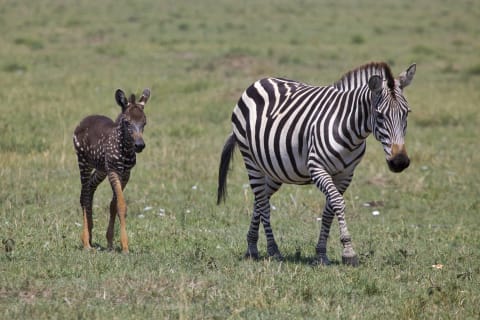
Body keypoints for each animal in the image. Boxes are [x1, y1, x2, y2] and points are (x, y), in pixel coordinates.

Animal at [73, 88, 150, 252]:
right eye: (127, 122)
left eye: (144, 122)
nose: (139, 145)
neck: (125, 150)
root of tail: (83, 121)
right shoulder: (114, 170)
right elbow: (121, 205)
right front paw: (125, 246)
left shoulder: (125, 173)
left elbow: (113, 205)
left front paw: (110, 242)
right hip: (83, 162)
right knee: (84, 196)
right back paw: (86, 243)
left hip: (101, 169)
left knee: (89, 189)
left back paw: (90, 235)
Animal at [218, 62, 416, 264]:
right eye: (380, 115)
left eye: (406, 113)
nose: (399, 162)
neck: (348, 128)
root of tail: (260, 81)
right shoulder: (317, 168)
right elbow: (338, 203)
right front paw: (348, 251)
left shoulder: (346, 175)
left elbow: (329, 209)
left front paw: (321, 254)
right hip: (251, 161)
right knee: (263, 204)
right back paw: (273, 250)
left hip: (274, 169)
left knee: (260, 199)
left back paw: (251, 247)